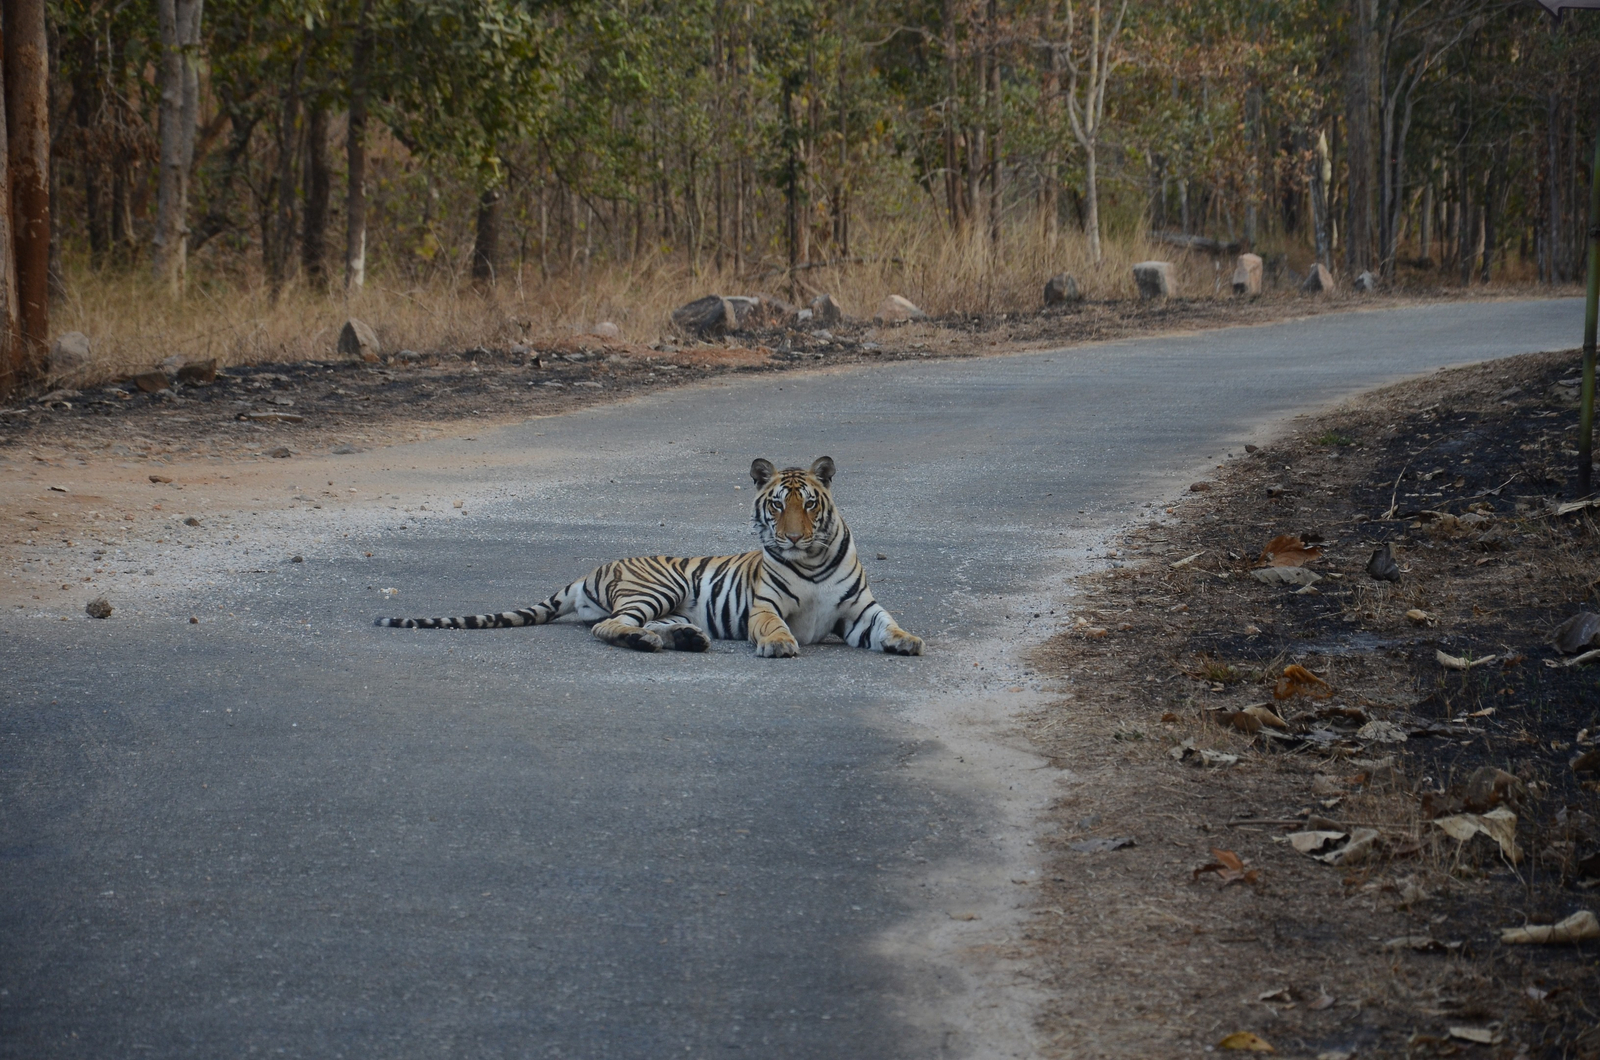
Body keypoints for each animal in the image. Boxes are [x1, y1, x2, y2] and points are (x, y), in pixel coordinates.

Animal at [375, 456, 924, 658]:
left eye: (809, 504)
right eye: (776, 505)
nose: (790, 538)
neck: (809, 561)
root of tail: (593, 568)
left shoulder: (858, 612)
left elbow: (887, 623)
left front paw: (906, 640)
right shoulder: (765, 606)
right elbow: (772, 625)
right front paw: (780, 645)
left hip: (670, 604)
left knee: (634, 623)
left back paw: (686, 639)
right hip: (660, 587)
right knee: (609, 626)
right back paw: (650, 643)